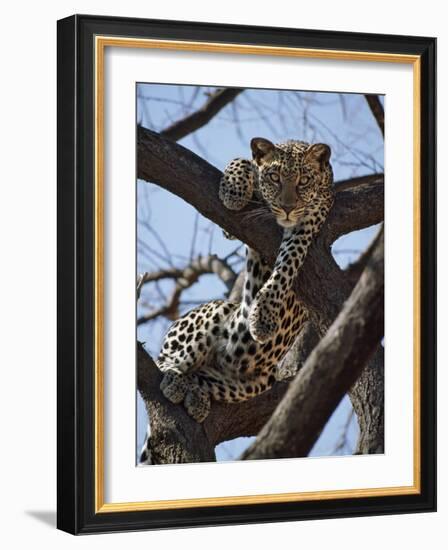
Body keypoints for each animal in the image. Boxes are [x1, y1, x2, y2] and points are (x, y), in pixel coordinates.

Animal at [139, 137, 332, 466]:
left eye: (304, 181)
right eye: (274, 178)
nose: (288, 208)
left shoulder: (309, 221)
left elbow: (287, 263)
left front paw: (264, 315)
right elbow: (242, 161)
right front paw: (233, 190)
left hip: (252, 381)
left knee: (203, 377)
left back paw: (194, 394)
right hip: (216, 312)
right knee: (166, 360)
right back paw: (176, 379)